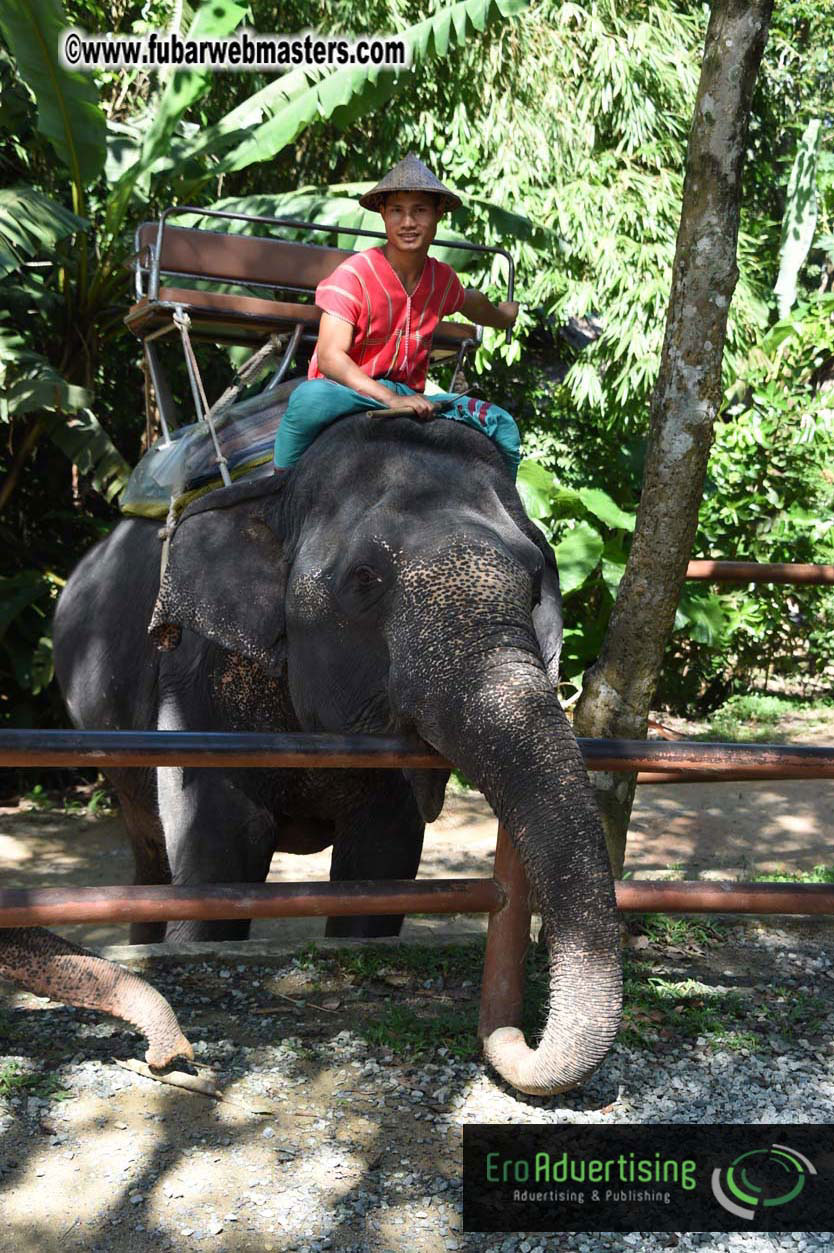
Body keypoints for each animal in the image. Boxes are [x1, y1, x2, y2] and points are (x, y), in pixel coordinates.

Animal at [52, 408, 622, 1096]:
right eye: (364, 580)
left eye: (537, 581)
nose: (515, 1040)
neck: (281, 490)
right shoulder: (193, 684)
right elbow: (220, 856)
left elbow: (380, 864)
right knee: (151, 846)